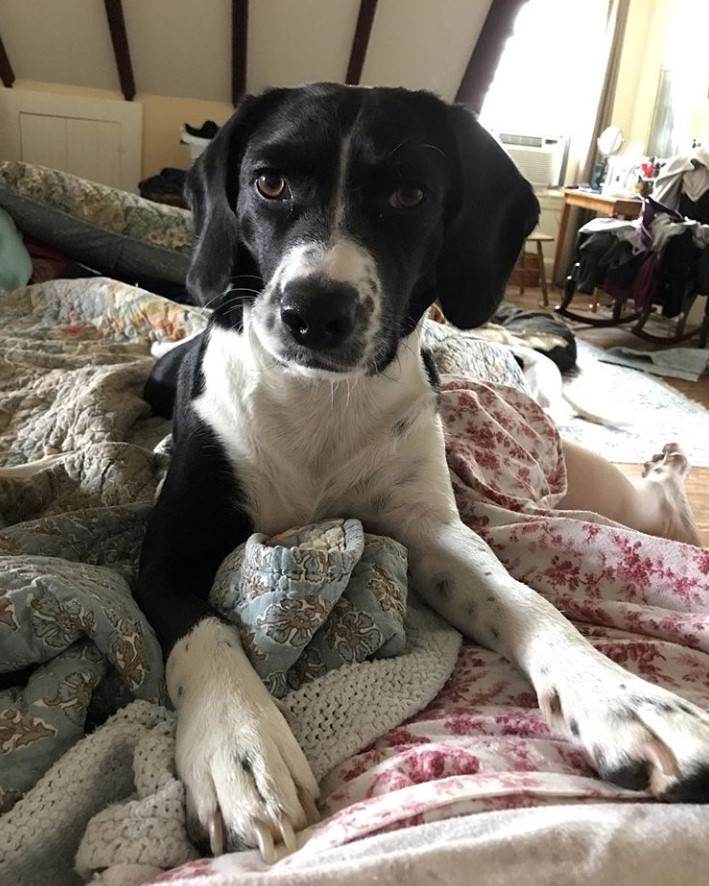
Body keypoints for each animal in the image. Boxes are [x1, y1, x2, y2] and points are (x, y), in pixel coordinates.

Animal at [137, 81, 708, 860]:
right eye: (269, 182)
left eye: (409, 194)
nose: (314, 311)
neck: (320, 399)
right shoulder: (164, 557)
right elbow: (206, 638)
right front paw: (239, 749)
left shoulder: (431, 531)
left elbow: (522, 599)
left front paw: (620, 697)